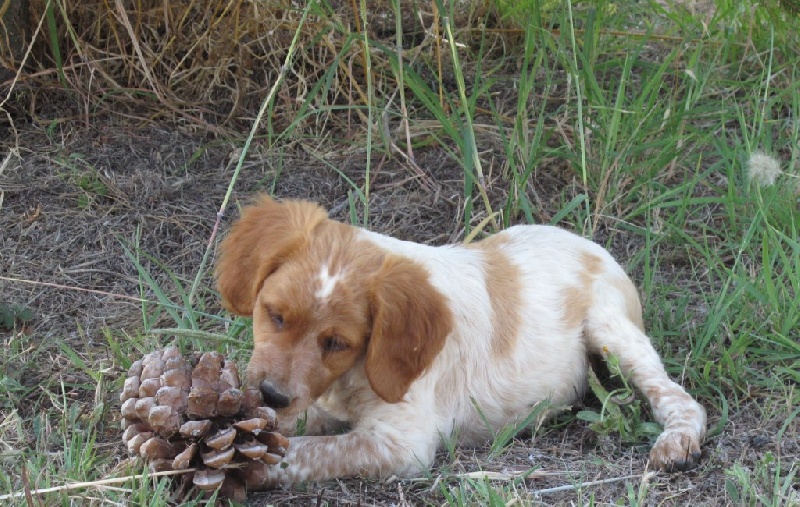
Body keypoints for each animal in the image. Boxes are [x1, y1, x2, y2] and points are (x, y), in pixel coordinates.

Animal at [215, 194, 706, 487]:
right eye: (274, 314)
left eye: (337, 343)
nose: (271, 394)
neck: (351, 379)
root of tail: (591, 243)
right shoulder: (313, 401)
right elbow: (287, 428)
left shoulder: (402, 444)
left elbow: (300, 452)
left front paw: (243, 467)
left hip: (612, 331)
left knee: (680, 398)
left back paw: (676, 443)